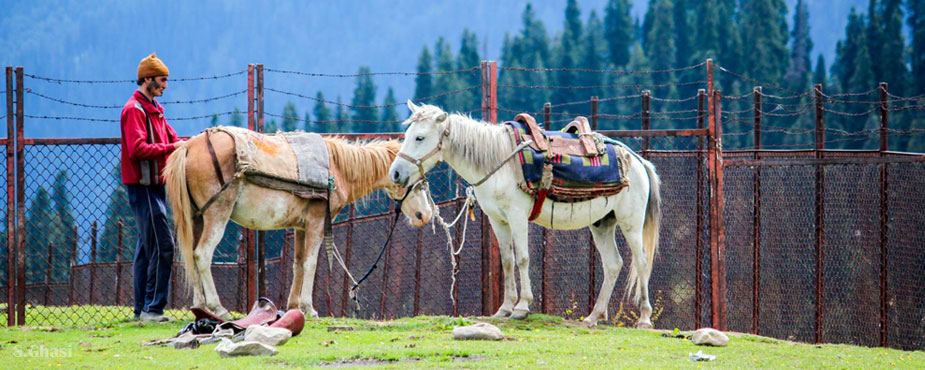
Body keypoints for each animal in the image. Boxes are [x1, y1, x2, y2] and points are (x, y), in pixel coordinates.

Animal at [165, 129, 434, 320]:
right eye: (418, 183)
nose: (425, 215)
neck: (337, 169)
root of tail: (190, 147)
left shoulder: (301, 227)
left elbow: (298, 265)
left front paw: (294, 305)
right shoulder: (317, 221)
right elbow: (311, 263)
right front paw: (309, 307)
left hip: (197, 217)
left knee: (191, 256)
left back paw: (200, 306)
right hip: (217, 213)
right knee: (202, 254)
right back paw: (217, 307)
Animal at [386, 100, 660, 326]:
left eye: (420, 137)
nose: (395, 174)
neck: (498, 162)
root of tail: (638, 160)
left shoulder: (517, 216)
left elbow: (523, 259)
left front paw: (522, 307)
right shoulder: (498, 220)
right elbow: (507, 261)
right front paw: (504, 309)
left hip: (631, 222)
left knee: (641, 261)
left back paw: (644, 319)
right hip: (602, 224)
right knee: (613, 264)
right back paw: (594, 317)